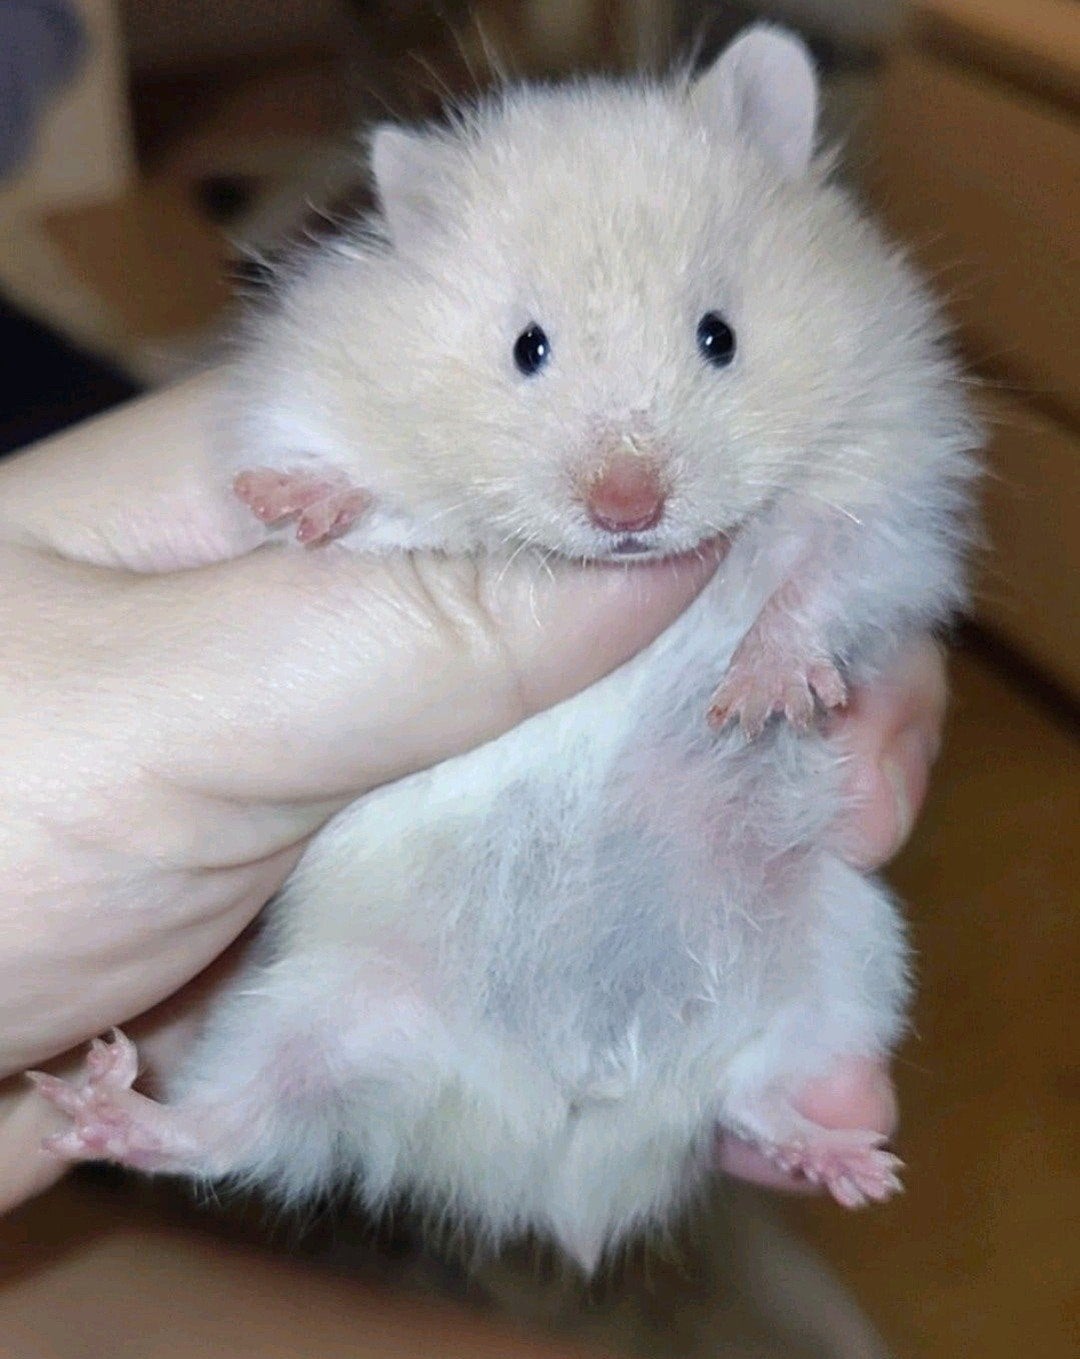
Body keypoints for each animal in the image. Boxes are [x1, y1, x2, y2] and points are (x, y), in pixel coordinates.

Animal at [32, 26, 977, 1271]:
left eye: (719, 338)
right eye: (527, 348)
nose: (628, 509)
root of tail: (558, 1139)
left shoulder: (891, 476)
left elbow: (823, 569)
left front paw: (762, 697)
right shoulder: (309, 417)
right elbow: (368, 503)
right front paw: (304, 502)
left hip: (842, 955)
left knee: (755, 1092)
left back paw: (849, 1165)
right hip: (318, 1007)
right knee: (237, 1129)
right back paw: (99, 1106)